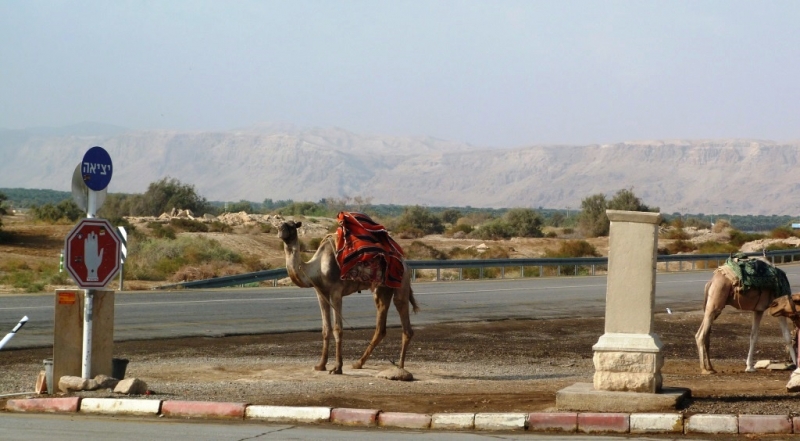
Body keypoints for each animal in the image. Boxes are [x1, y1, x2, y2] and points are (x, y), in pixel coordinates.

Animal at [276, 218, 418, 376]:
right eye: (279, 224)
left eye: (292, 226)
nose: (281, 231)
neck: (317, 268)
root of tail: (405, 263)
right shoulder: (321, 292)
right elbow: (325, 329)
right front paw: (320, 365)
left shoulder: (336, 291)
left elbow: (338, 329)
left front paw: (337, 368)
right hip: (382, 289)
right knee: (381, 324)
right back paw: (358, 363)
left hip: (401, 283)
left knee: (405, 322)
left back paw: (400, 368)